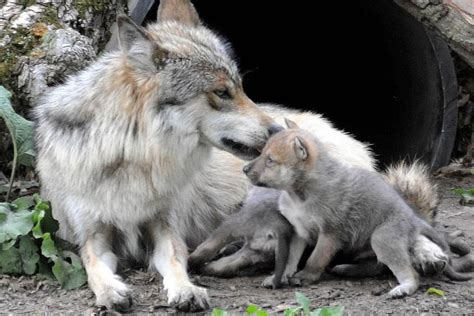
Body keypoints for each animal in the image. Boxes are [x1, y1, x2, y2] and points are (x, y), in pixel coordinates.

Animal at [243, 119, 472, 298]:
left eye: (270, 160)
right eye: (262, 153)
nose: (244, 169)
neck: (299, 195)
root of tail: (414, 219)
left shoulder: (330, 235)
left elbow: (314, 259)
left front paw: (306, 277)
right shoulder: (299, 232)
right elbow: (290, 258)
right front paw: (280, 276)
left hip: (381, 238)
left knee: (409, 273)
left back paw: (403, 288)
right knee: (377, 266)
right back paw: (346, 269)